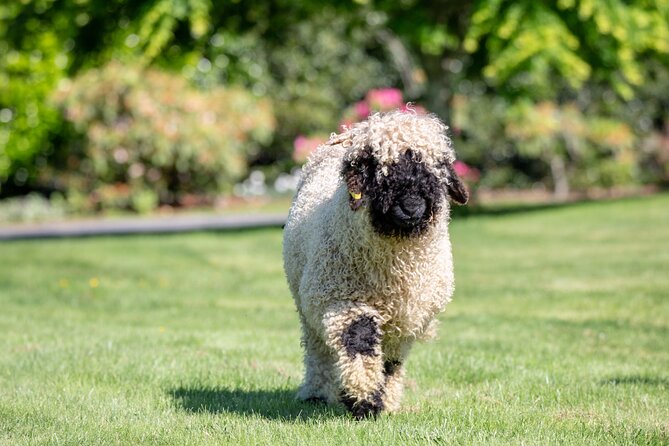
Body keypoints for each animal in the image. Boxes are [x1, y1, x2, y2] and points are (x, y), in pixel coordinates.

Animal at [284, 109, 468, 418]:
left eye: (437, 169)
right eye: (376, 170)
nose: (411, 207)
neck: (393, 271)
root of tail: (345, 134)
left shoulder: (409, 317)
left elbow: (391, 362)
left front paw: (380, 400)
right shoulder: (343, 301)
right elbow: (359, 341)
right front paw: (363, 399)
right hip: (307, 301)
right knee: (317, 348)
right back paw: (316, 393)